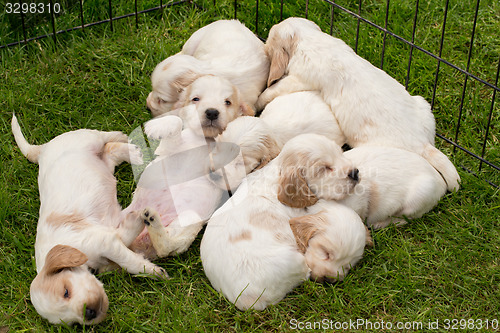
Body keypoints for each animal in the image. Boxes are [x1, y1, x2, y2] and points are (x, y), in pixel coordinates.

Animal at [11, 115, 168, 324]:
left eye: (66, 292)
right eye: (72, 323)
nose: (90, 313)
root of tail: (44, 148)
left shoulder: (102, 242)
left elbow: (129, 263)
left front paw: (155, 272)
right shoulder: (108, 237)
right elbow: (124, 239)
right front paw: (135, 222)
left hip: (86, 139)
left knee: (104, 137)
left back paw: (127, 140)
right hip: (104, 163)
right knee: (110, 151)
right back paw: (133, 154)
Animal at [199, 132, 360, 308]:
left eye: (340, 152)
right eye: (324, 168)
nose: (355, 173)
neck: (278, 173)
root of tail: (246, 300)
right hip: (296, 262)